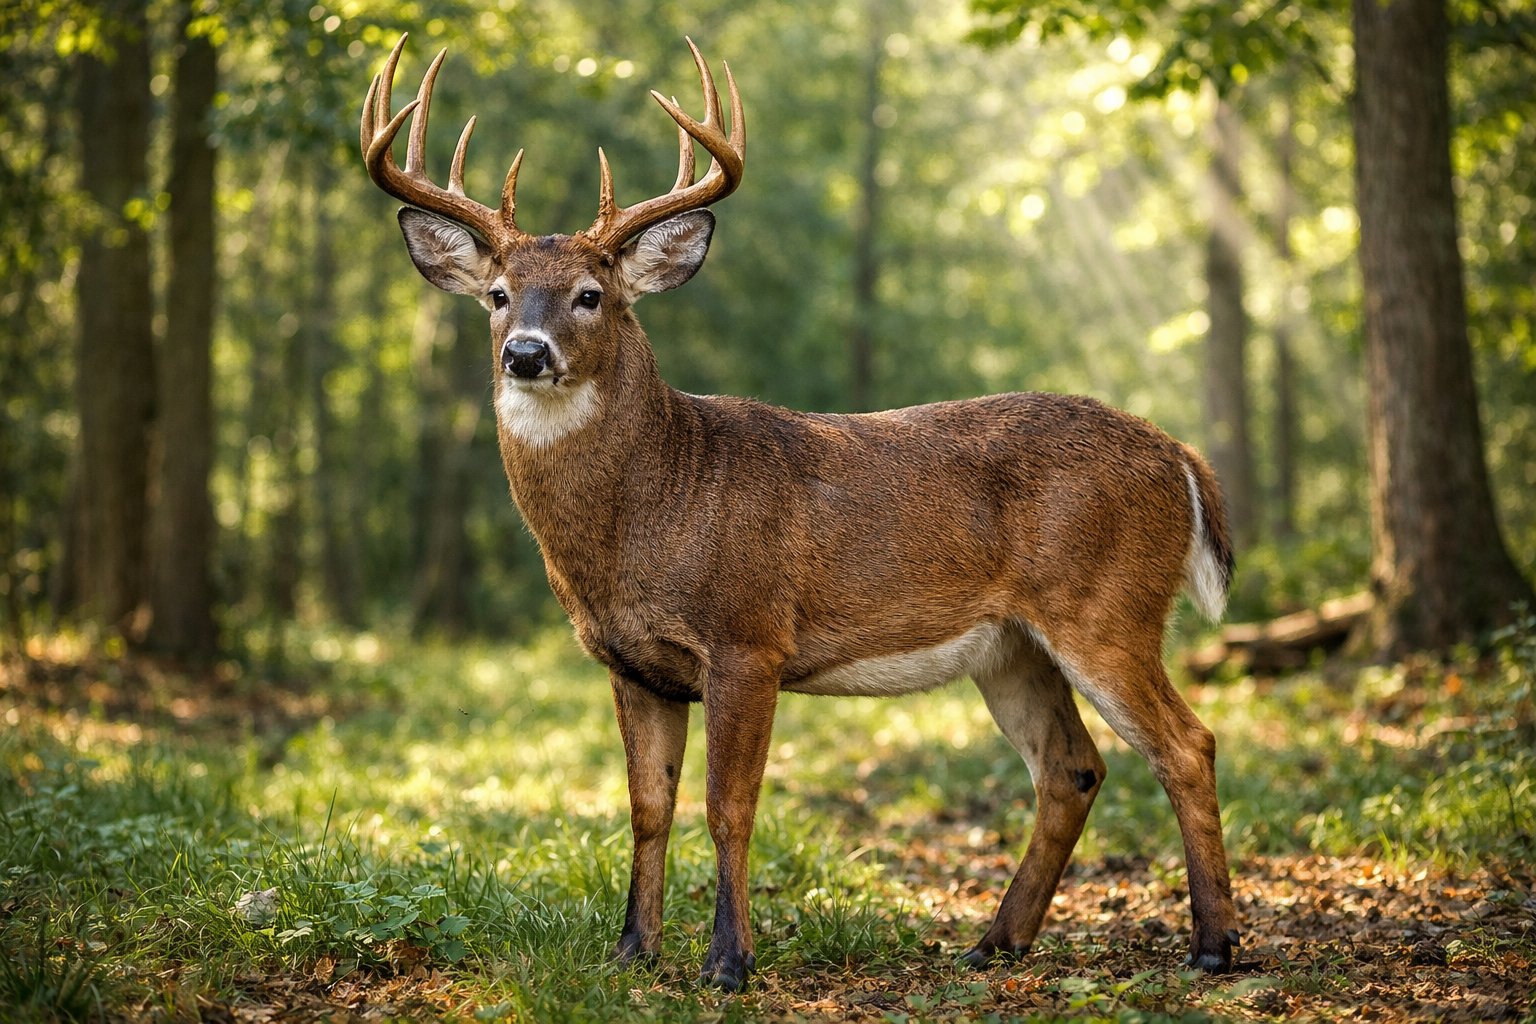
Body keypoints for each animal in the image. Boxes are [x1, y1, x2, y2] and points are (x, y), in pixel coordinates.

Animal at [360, 35, 1242, 991]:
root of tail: (1181, 456)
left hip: (1106, 605)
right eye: (496, 294)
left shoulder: (749, 636)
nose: (525, 352)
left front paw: (728, 961)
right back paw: (994, 941)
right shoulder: (631, 665)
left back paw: (1214, 945)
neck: (658, 504)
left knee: (1188, 743)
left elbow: (729, 807)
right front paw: (632, 952)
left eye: (591, 295)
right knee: (1070, 769)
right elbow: (646, 806)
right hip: (1012, 645)